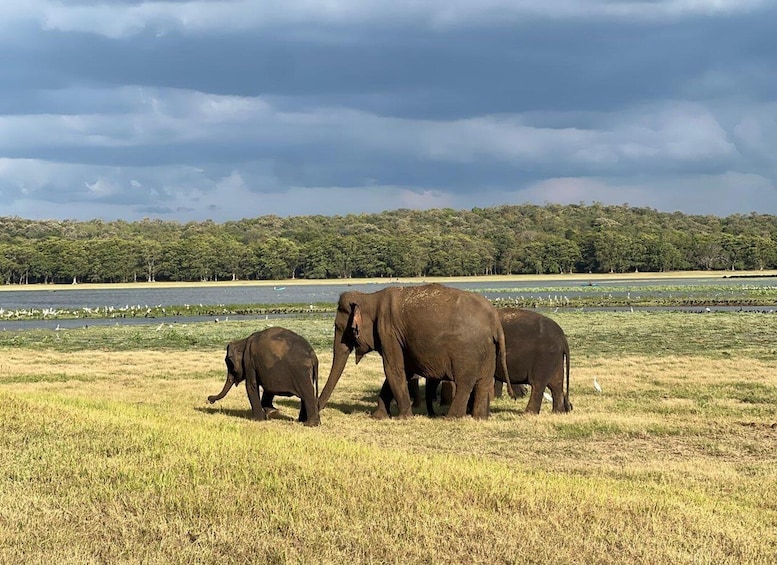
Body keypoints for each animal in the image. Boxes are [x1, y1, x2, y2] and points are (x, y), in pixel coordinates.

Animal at [317, 283, 515, 420]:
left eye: (338, 327)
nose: (318, 410)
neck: (370, 298)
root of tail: (494, 320)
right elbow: (402, 371)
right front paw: (378, 416)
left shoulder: (388, 331)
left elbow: (393, 369)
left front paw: (404, 417)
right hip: (489, 349)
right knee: (484, 382)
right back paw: (479, 418)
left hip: (467, 351)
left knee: (465, 383)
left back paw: (451, 418)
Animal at [425, 308, 572, 415]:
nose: (433, 414)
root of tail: (562, 337)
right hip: (555, 358)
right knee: (556, 384)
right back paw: (558, 412)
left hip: (545, 357)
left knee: (538, 384)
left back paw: (528, 414)